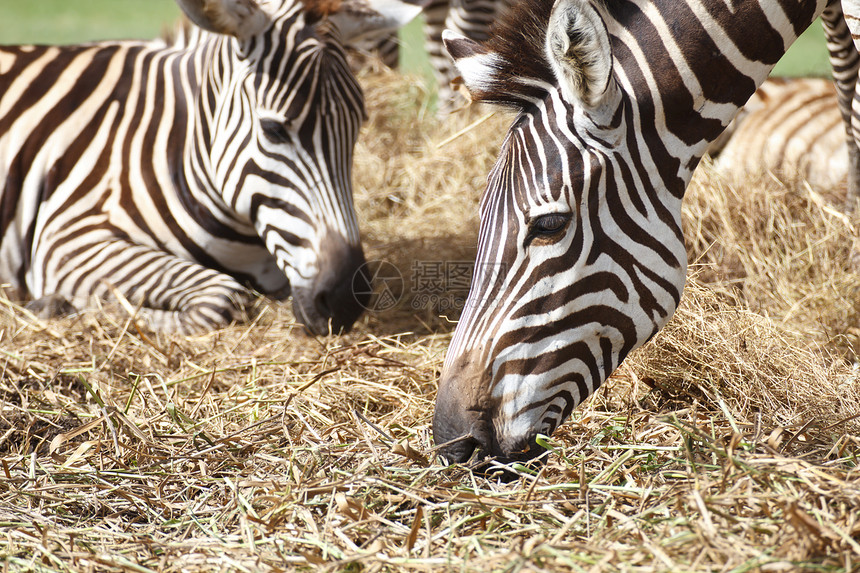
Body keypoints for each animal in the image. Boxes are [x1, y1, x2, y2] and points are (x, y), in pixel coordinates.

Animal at [0, 0, 420, 336]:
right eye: (273, 129)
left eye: (358, 125)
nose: (348, 298)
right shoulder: (67, 238)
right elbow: (223, 297)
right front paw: (64, 308)